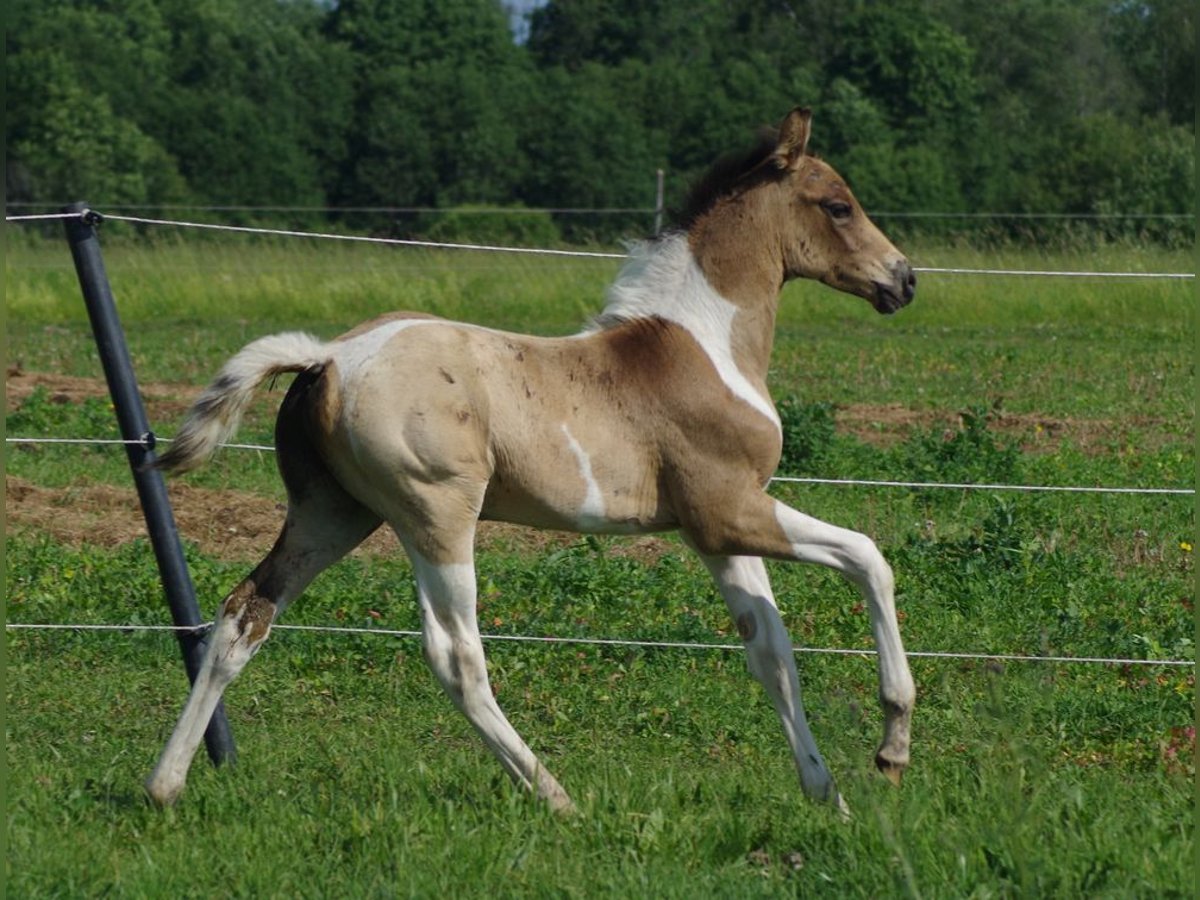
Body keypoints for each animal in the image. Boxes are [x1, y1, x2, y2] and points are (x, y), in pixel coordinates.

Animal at [150, 107, 916, 816]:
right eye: (839, 204)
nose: (903, 280)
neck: (701, 346)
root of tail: (327, 357)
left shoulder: (715, 533)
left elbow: (772, 652)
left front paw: (828, 796)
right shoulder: (729, 510)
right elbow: (868, 556)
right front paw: (891, 746)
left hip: (331, 513)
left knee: (244, 615)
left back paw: (163, 786)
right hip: (436, 515)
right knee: (456, 655)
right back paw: (555, 796)